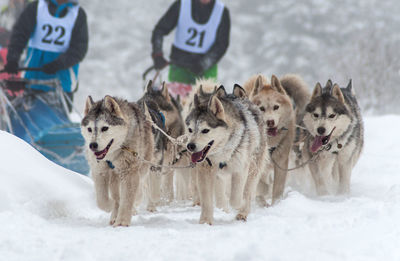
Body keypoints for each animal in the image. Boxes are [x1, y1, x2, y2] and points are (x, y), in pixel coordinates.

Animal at [80, 94, 157, 224]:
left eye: (104, 128)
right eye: (90, 129)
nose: (93, 145)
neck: (111, 156)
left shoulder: (129, 171)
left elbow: (126, 200)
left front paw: (122, 222)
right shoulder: (99, 171)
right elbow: (102, 201)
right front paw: (111, 206)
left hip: (142, 167)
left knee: (138, 189)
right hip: (114, 177)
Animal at [185, 82, 268, 223]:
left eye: (205, 130)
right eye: (190, 129)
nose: (190, 146)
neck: (222, 153)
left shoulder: (240, 170)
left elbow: (236, 199)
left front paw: (240, 206)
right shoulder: (205, 172)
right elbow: (207, 201)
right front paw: (205, 222)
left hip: (253, 168)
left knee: (247, 190)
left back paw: (243, 212)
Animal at [244, 73, 310, 203]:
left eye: (276, 107)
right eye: (261, 108)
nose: (270, 122)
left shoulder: (281, 161)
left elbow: (277, 188)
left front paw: (276, 203)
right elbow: (260, 184)